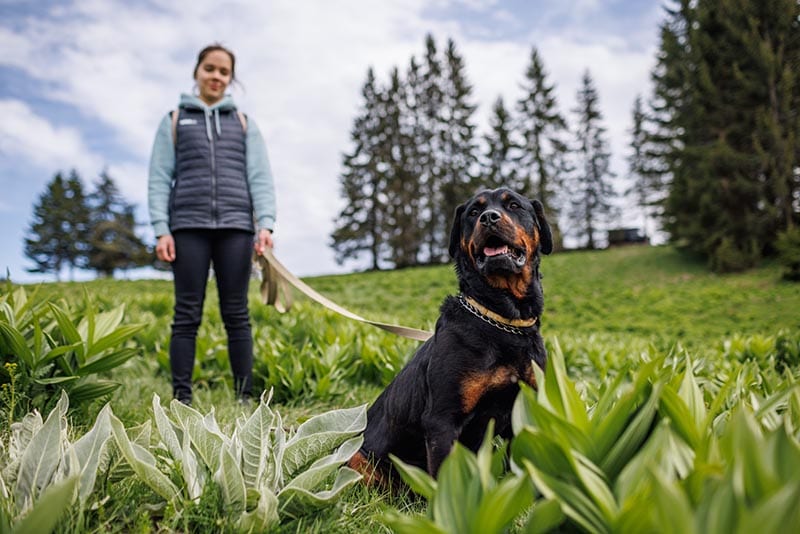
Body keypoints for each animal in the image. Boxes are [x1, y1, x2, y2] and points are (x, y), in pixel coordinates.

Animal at [346, 188, 552, 486]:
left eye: (514, 205)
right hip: (358, 458)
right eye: (474, 212)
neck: (501, 319)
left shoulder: (525, 411)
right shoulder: (442, 420)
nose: (489, 218)